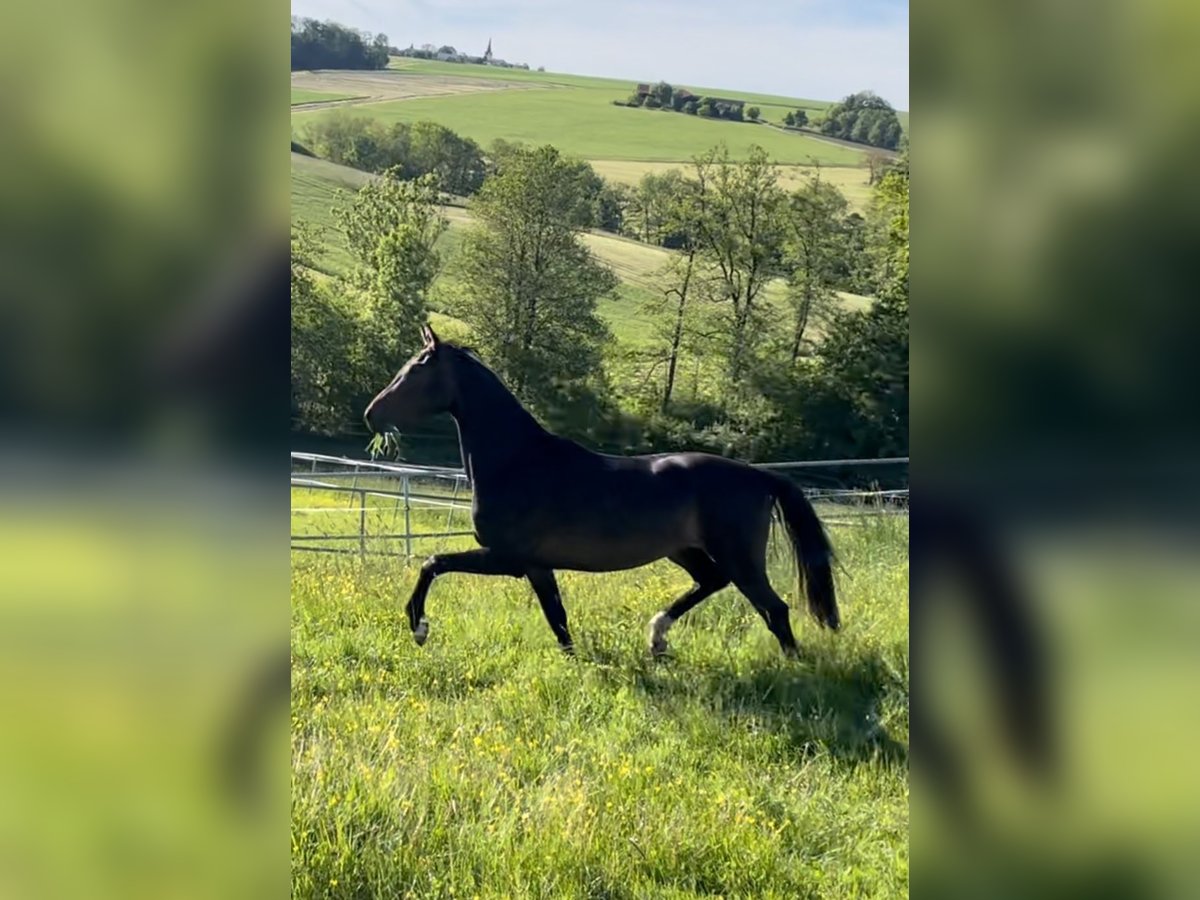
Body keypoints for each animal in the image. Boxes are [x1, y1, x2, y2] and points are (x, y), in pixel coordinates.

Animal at [360, 328, 840, 657]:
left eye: (414, 372)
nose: (371, 414)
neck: (517, 461)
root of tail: (759, 476)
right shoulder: (537, 566)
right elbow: (558, 620)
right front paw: (580, 665)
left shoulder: (509, 559)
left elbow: (432, 563)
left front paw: (418, 627)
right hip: (684, 550)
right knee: (712, 581)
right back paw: (656, 636)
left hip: (740, 557)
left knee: (774, 609)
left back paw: (794, 667)